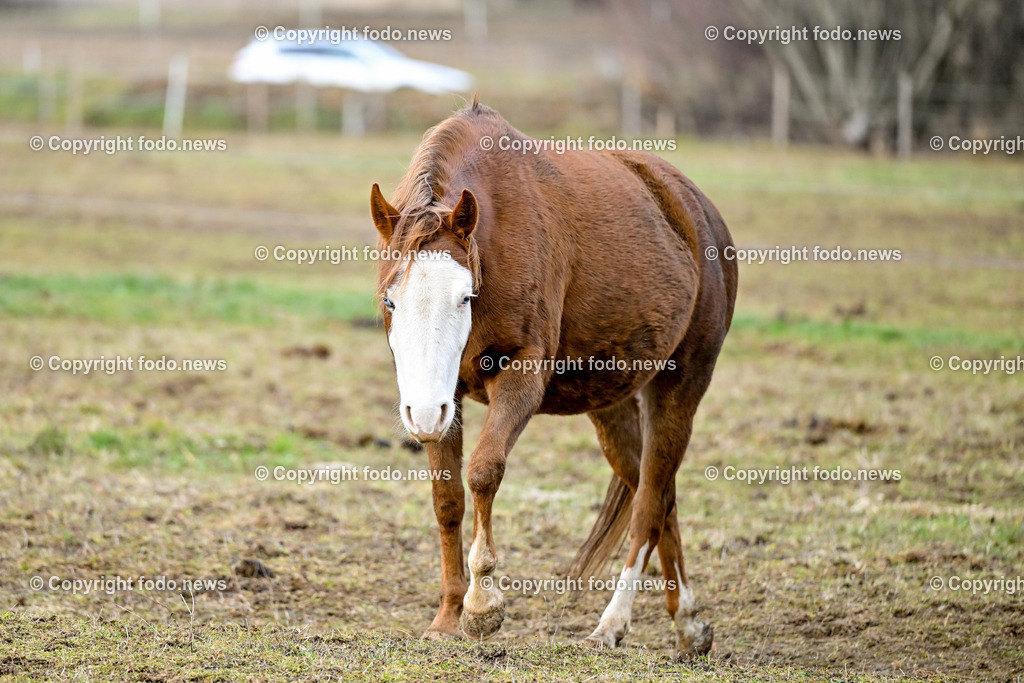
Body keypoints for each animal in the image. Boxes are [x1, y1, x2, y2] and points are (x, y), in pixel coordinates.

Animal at [368, 99, 737, 658]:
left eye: (465, 297)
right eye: (391, 301)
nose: (424, 413)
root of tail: (700, 212)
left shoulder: (521, 375)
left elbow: (483, 471)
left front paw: (483, 607)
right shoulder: (443, 399)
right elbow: (447, 499)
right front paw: (448, 616)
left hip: (682, 386)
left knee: (649, 500)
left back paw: (613, 624)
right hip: (612, 405)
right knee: (659, 494)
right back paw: (689, 624)